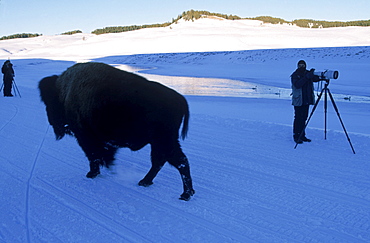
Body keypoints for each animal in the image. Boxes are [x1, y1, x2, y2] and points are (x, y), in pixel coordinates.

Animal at [38, 61, 195, 200]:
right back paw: (146, 182)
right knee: (162, 161)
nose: (52, 122)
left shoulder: (84, 137)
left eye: (49, 102)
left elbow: (93, 155)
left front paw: (92, 173)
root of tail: (180, 99)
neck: (63, 92)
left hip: (163, 141)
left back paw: (185, 195)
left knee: (178, 161)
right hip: (159, 142)